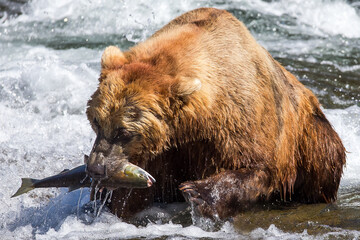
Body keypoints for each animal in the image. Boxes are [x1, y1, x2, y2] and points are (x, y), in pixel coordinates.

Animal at [84, 8, 346, 220]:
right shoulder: (165, 152)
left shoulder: (241, 118)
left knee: (325, 159)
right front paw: (108, 194)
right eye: (96, 122)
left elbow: (257, 165)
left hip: (309, 135)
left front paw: (197, 192)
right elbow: (136, 193)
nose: (96, 168)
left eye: (124, 132)